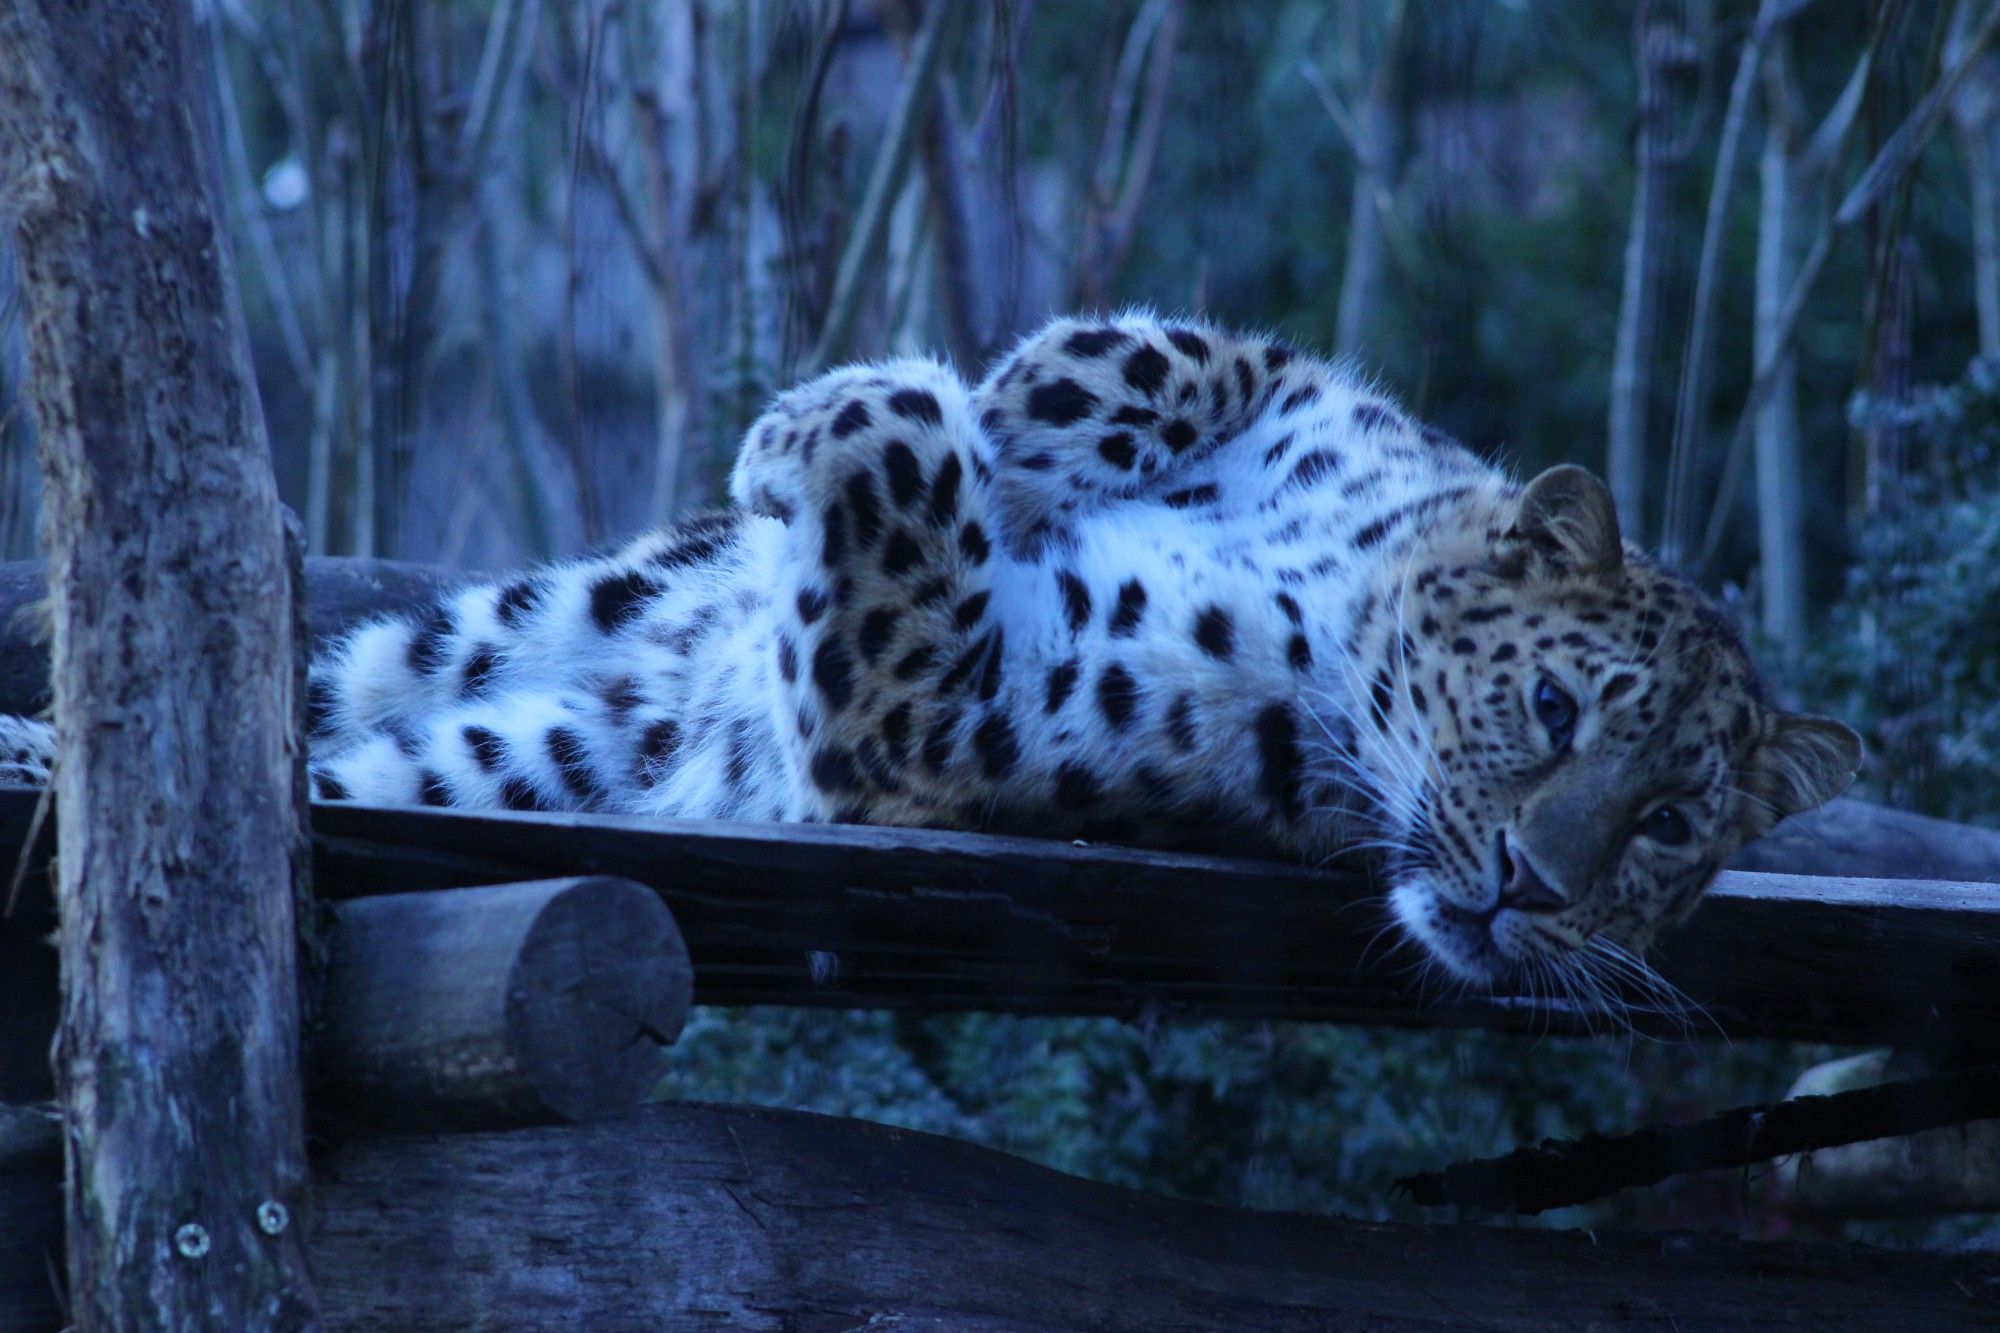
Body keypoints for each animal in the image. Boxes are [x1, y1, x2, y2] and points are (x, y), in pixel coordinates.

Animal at [0, 314, 1856, 996]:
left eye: (1670, 829)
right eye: (1549, 707)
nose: (1537, 892)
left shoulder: (934, 718)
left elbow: (908, 442)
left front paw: (848, 429)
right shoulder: (1296, 387)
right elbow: (1137, 355)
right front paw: (971, 436)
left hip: (492, 758)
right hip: (490, 640)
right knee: (312, 704)